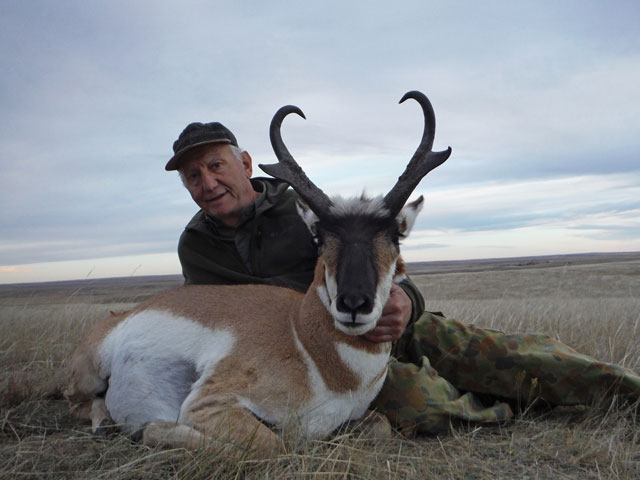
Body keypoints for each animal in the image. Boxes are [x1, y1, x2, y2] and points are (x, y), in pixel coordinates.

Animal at [66, 91, 450, 462]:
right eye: (320, 236)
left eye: (395, 236)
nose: (354, 304)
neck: (304, 337)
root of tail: (121, 315)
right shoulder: (208, 404)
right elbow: (272, 445)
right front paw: (152, 430)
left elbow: (381, 427)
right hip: (90, 374)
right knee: (77, 402)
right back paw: (104, 423)